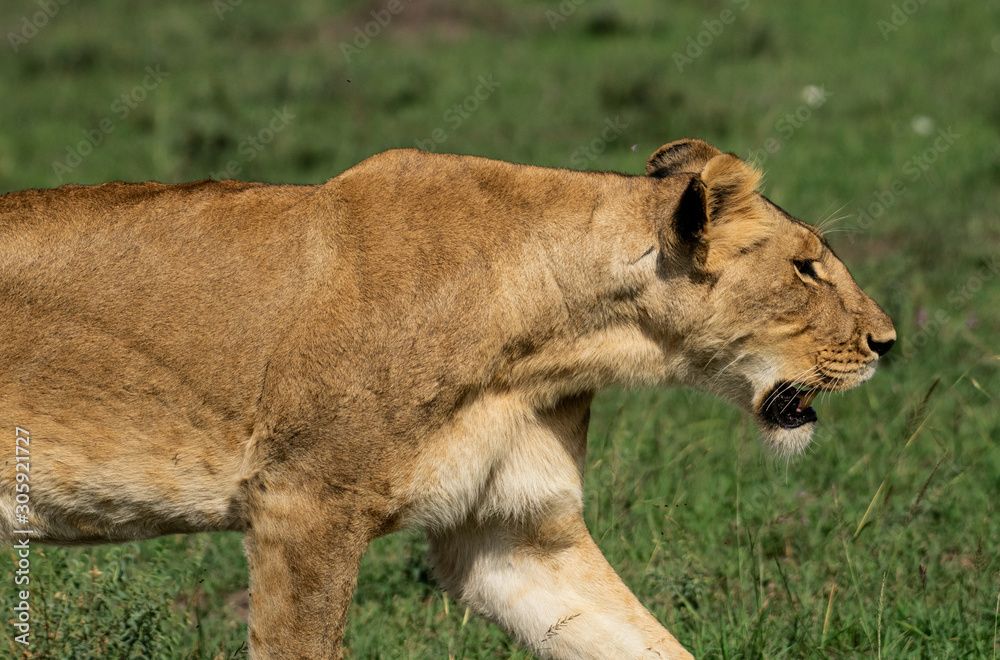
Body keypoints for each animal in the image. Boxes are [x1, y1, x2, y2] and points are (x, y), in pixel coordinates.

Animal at [0, 139, 894, 659]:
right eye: (806, 267)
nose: (889, 342)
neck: (557, 329)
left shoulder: (513, 532)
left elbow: (643, 641)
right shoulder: (303, 504)